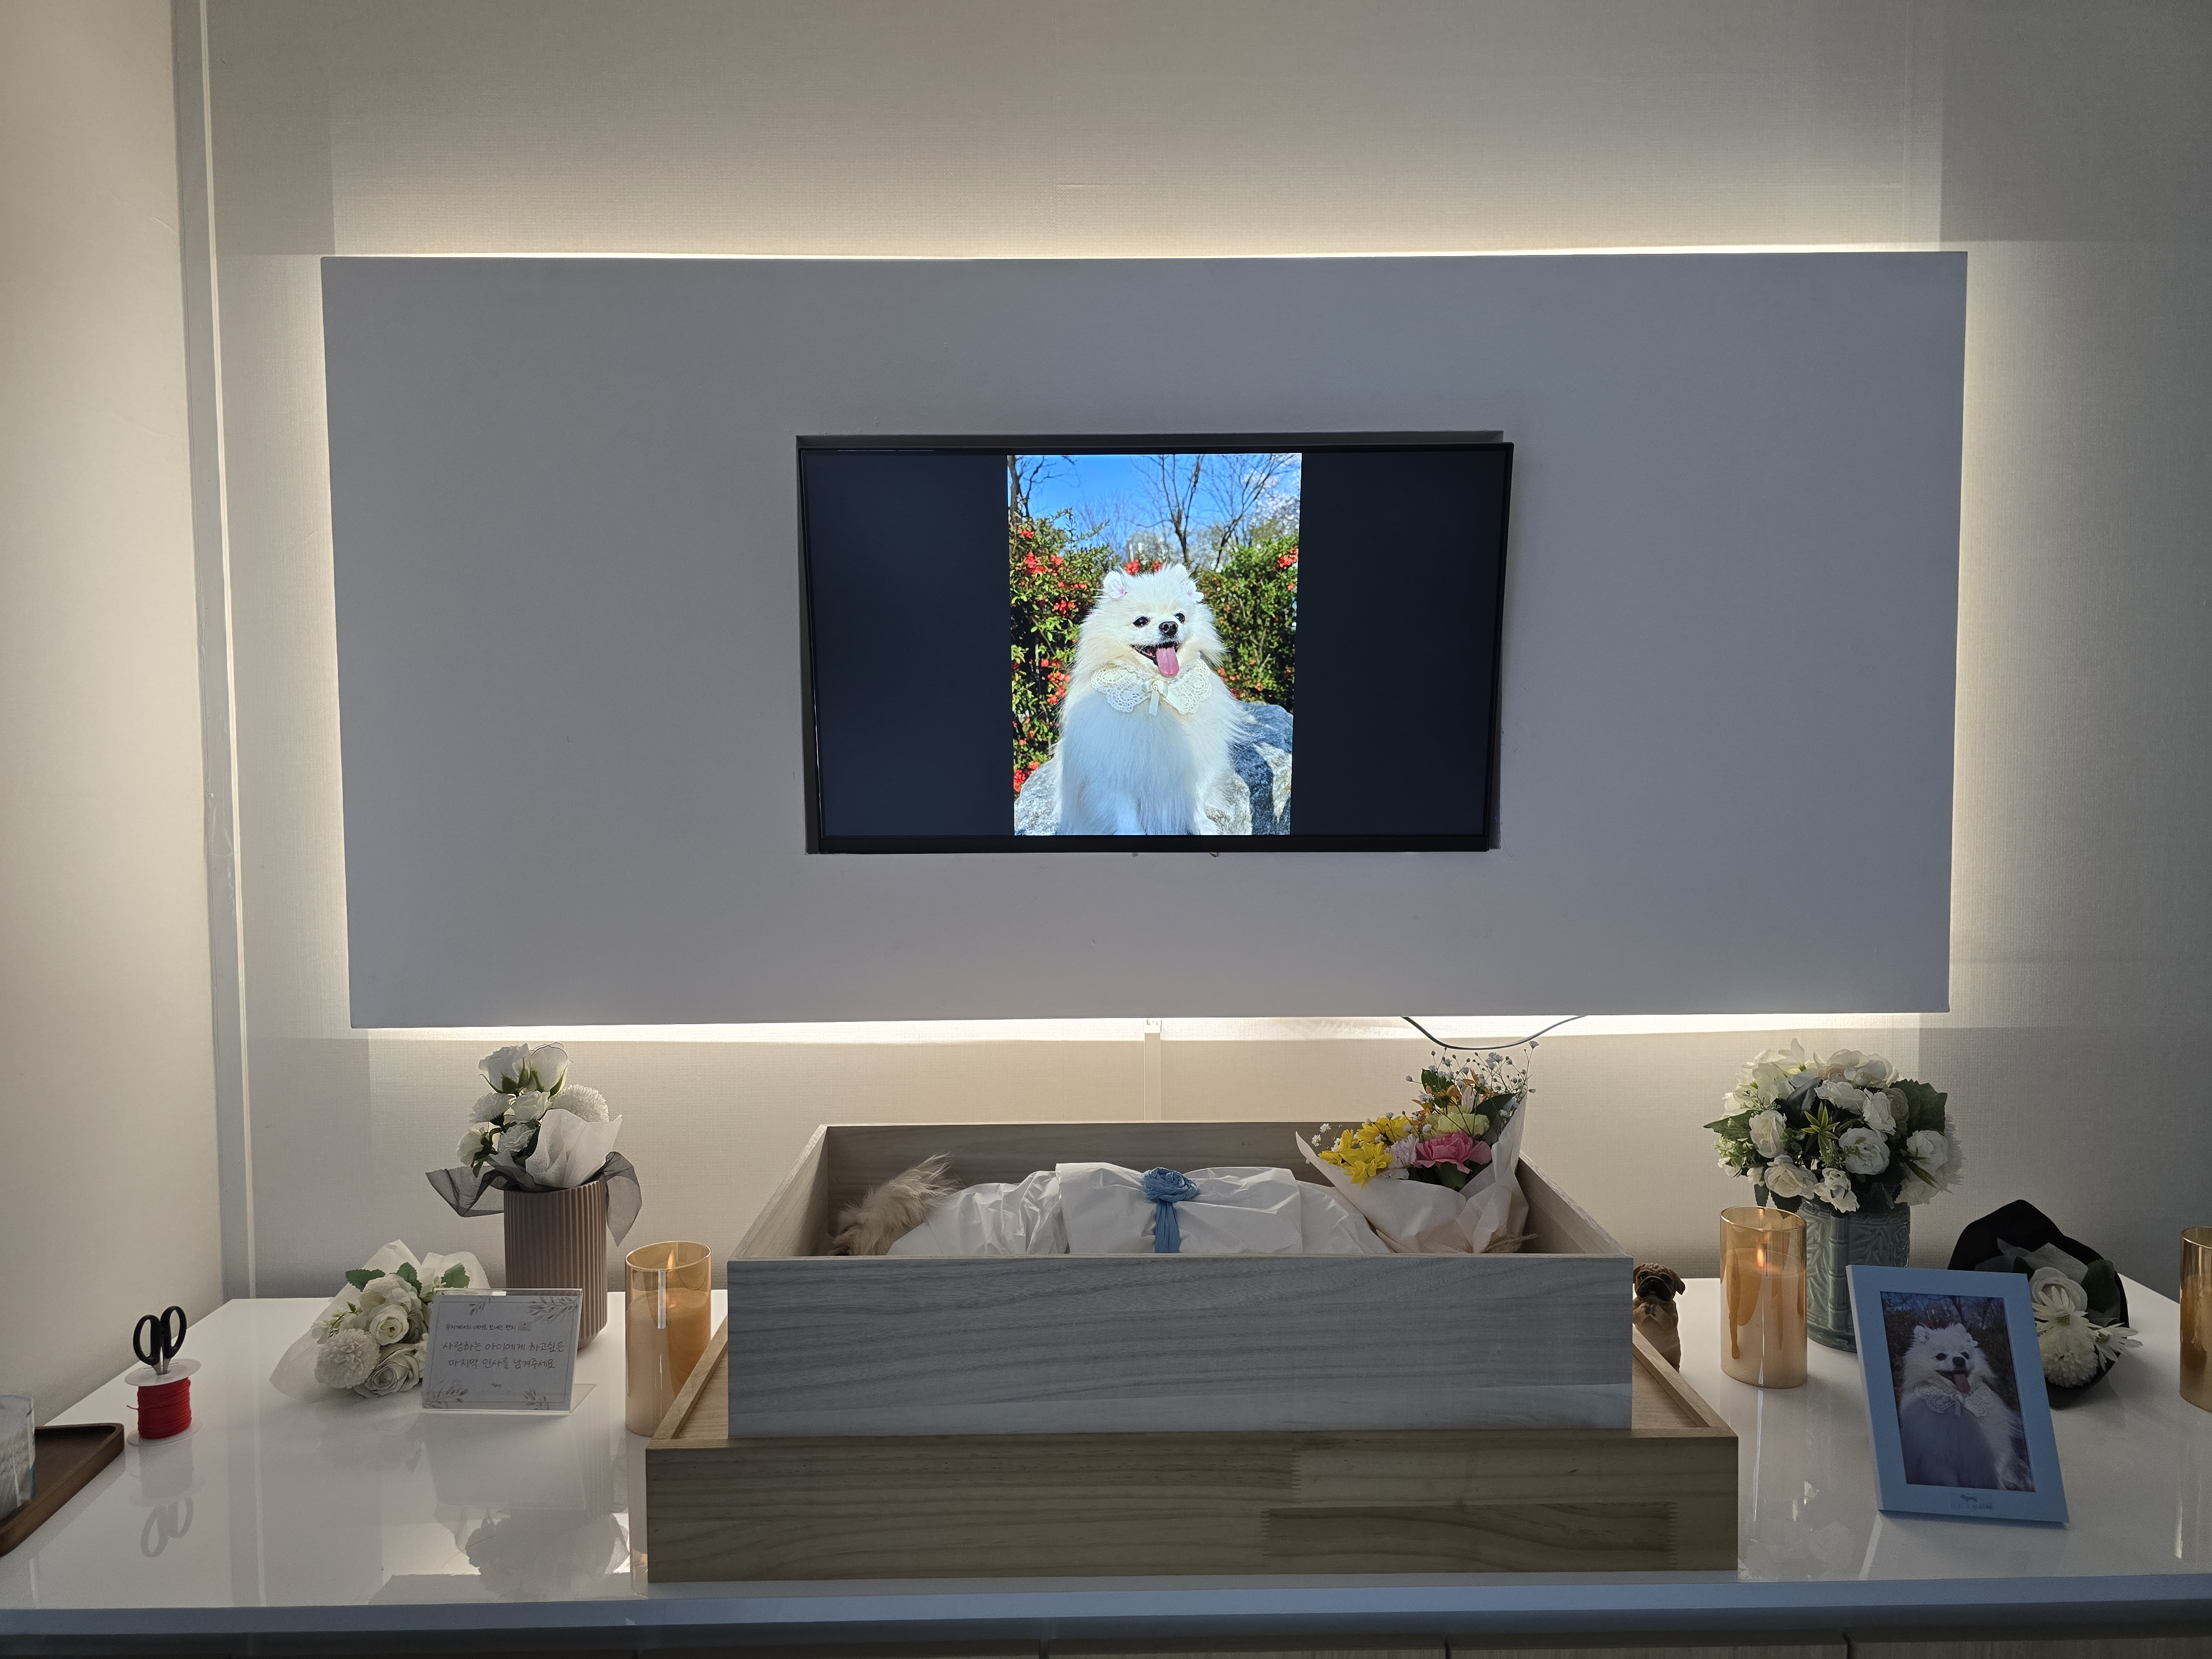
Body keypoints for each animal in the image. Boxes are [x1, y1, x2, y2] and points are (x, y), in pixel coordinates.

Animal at [1055, 565, 1247, 835]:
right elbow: (1125, 812)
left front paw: (1200, 823)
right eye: (1141, 621)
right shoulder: (1116, 771)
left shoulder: (1199, 758)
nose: (1169, 626)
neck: (1157, 685)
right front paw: (1132, 834)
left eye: (1180, 616)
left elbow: (1196, 796)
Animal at [1894, 1320, 2033, 1491]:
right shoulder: (1941, 1461)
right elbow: (1949, 1480)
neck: (1958, 1398)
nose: (1959, 1360)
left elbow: (1998, 1476)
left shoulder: (1995, 1453)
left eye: (1965, 1355)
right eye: (1940, 1356)